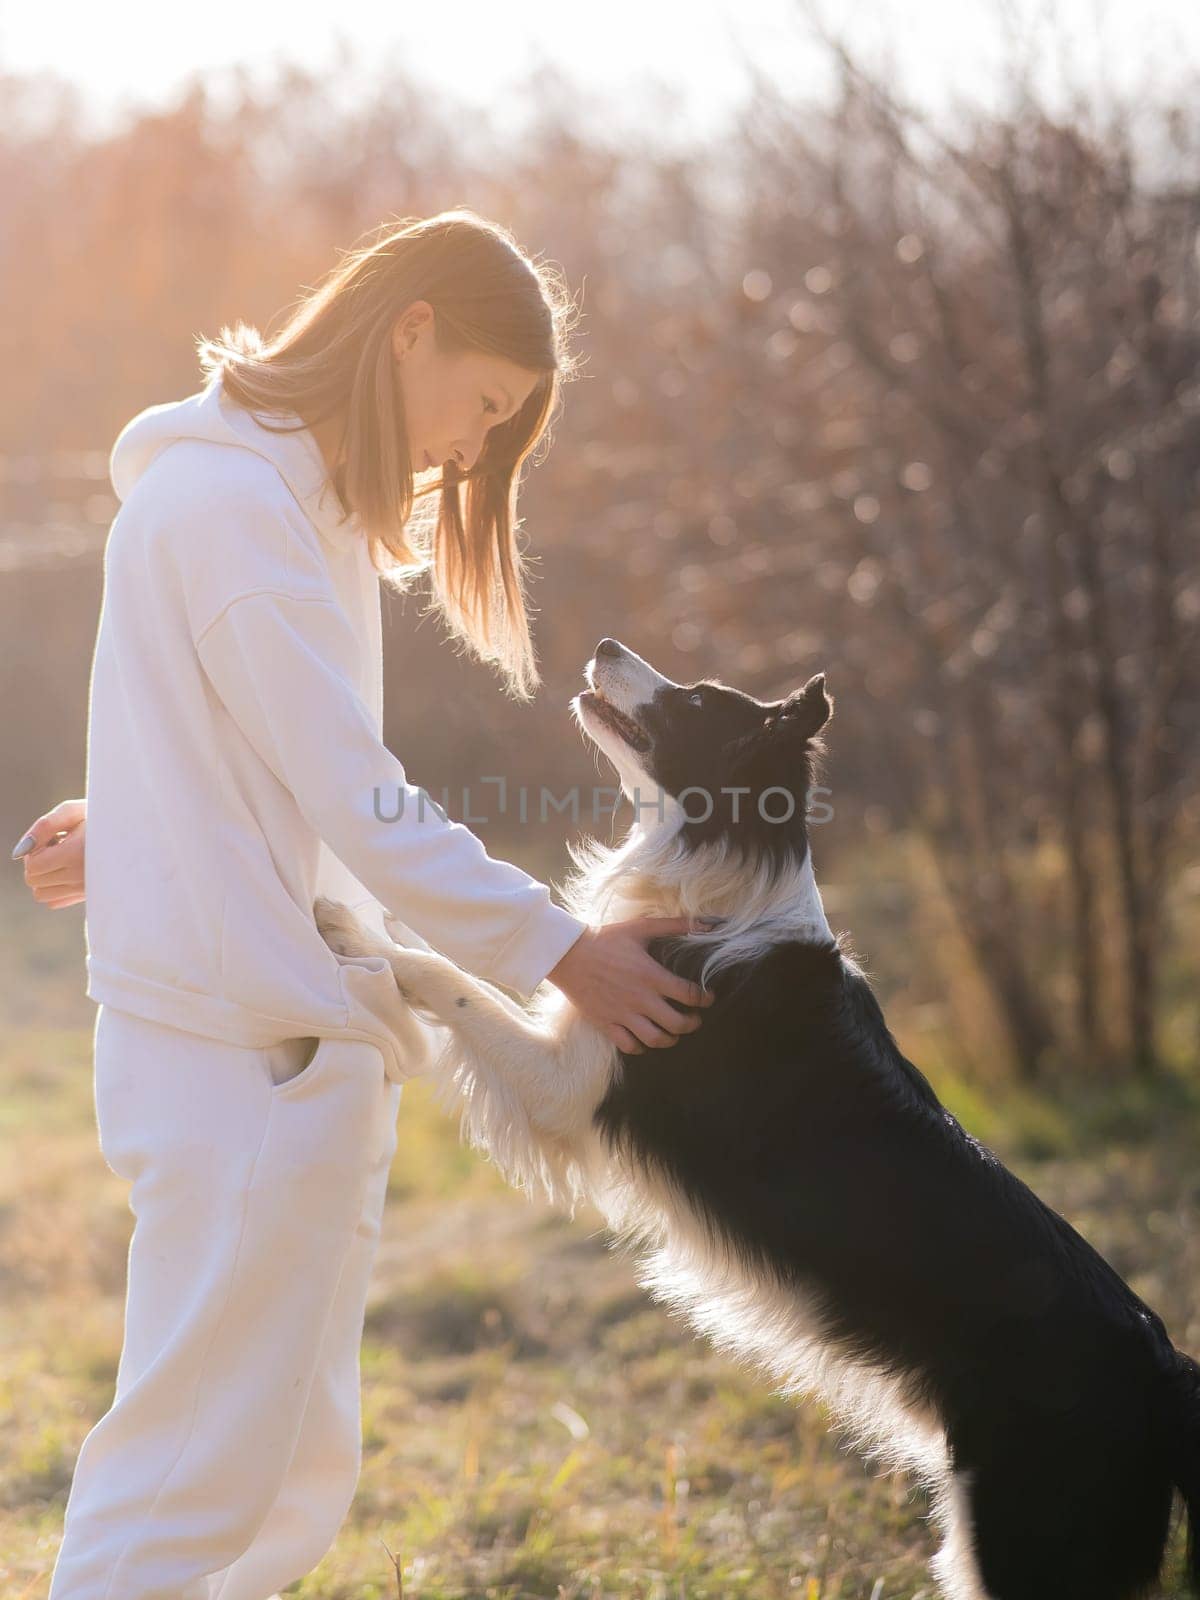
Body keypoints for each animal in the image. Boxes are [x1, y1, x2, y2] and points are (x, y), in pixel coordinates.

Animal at [316, 636, 1200, 1600]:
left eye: (699, 701)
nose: (605, 645)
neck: (721, 881)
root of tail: (1166, 1372)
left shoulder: (569, 1079)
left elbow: (453, 980)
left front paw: (355, 930)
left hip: (1022, 1537)